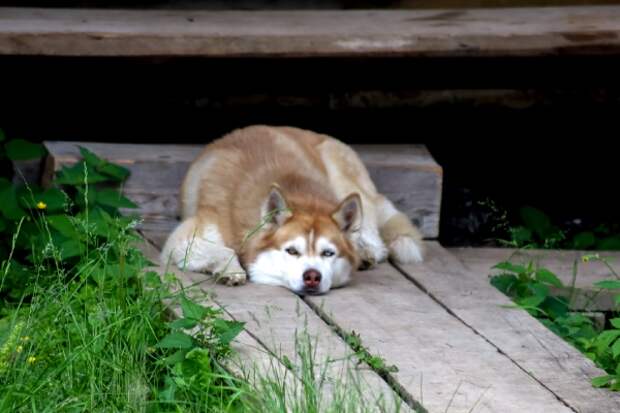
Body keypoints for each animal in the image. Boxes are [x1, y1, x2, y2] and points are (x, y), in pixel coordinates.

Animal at [160, 124, 424, 292]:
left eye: (328, 253)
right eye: (292, 251)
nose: (312, 277)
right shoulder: (183, 241)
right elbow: (225, 250)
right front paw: (231, 270)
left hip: (347, 184)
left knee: (376, 244)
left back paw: (365, 253)